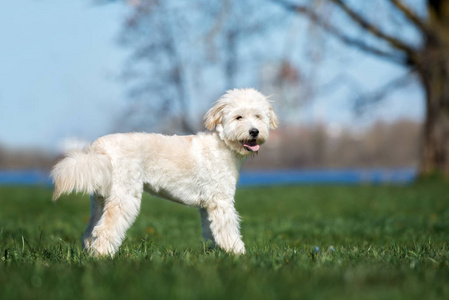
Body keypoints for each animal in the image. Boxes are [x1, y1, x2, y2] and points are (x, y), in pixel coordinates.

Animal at [51, 87, 276, 255]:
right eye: (238, 117)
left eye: (258, 116)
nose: (254, 131)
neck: (223, 145)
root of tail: (100, 149)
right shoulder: (221, 202)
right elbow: (228, 230)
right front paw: (239, 254)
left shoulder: (207, 206)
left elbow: (212, 231)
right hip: (124, 197)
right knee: (105, 230)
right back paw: (102, 257)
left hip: (101, 199)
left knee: (91, 231)